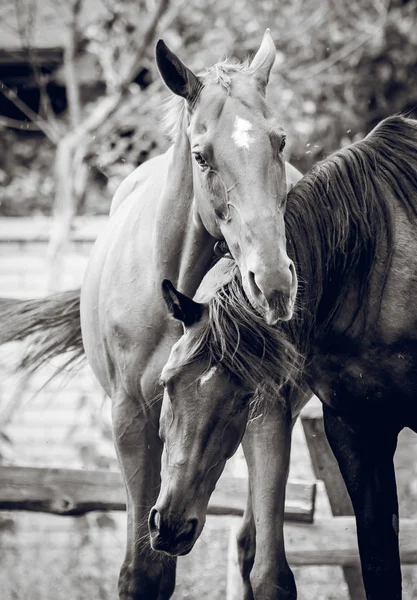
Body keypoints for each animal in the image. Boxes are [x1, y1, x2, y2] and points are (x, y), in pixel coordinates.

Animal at [0, 31, 300, 600]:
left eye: (279, 142)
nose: (273, 281)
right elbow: (144, 573)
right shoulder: (132, 420)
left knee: (248, 545)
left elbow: (272, 573)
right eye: (202, 155)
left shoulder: (267, 414)